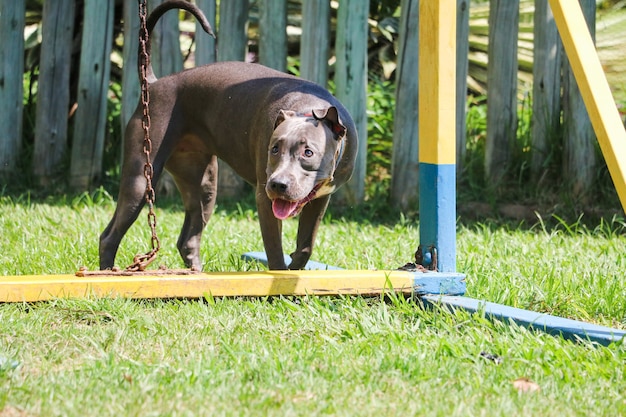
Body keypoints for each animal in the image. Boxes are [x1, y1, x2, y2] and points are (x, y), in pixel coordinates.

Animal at [101, 0, 356, 272]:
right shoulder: (264, 200)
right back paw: (107, 273)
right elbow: (275, 254)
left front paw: (296, 266)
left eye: (308, 153)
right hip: (141, 178)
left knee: (188, 239)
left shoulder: (320, 200)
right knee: (109, 236)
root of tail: (154, 83)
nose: (278, 184)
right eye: (274, 149)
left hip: (203, 185)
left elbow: (306, 245)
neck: (309, 109)